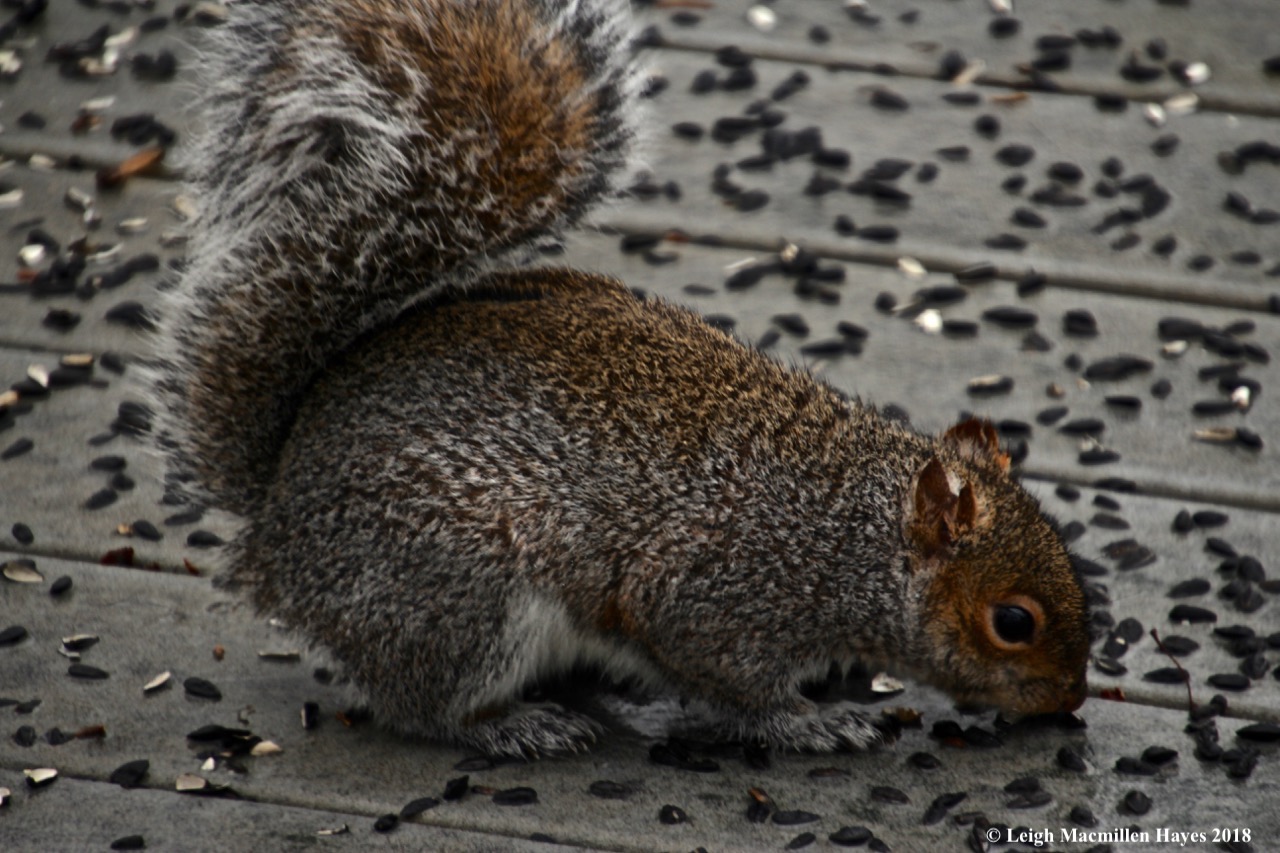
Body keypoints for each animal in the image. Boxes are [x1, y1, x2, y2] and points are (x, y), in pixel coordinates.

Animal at [150, 0, 1092, 759]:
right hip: (457, 591)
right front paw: (813, 721)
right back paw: (511, 725)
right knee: (421, 701)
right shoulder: (720, 594)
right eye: (1014, 623)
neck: (852, 535)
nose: (1069, 701)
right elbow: (731, 677)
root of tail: (277, 517)